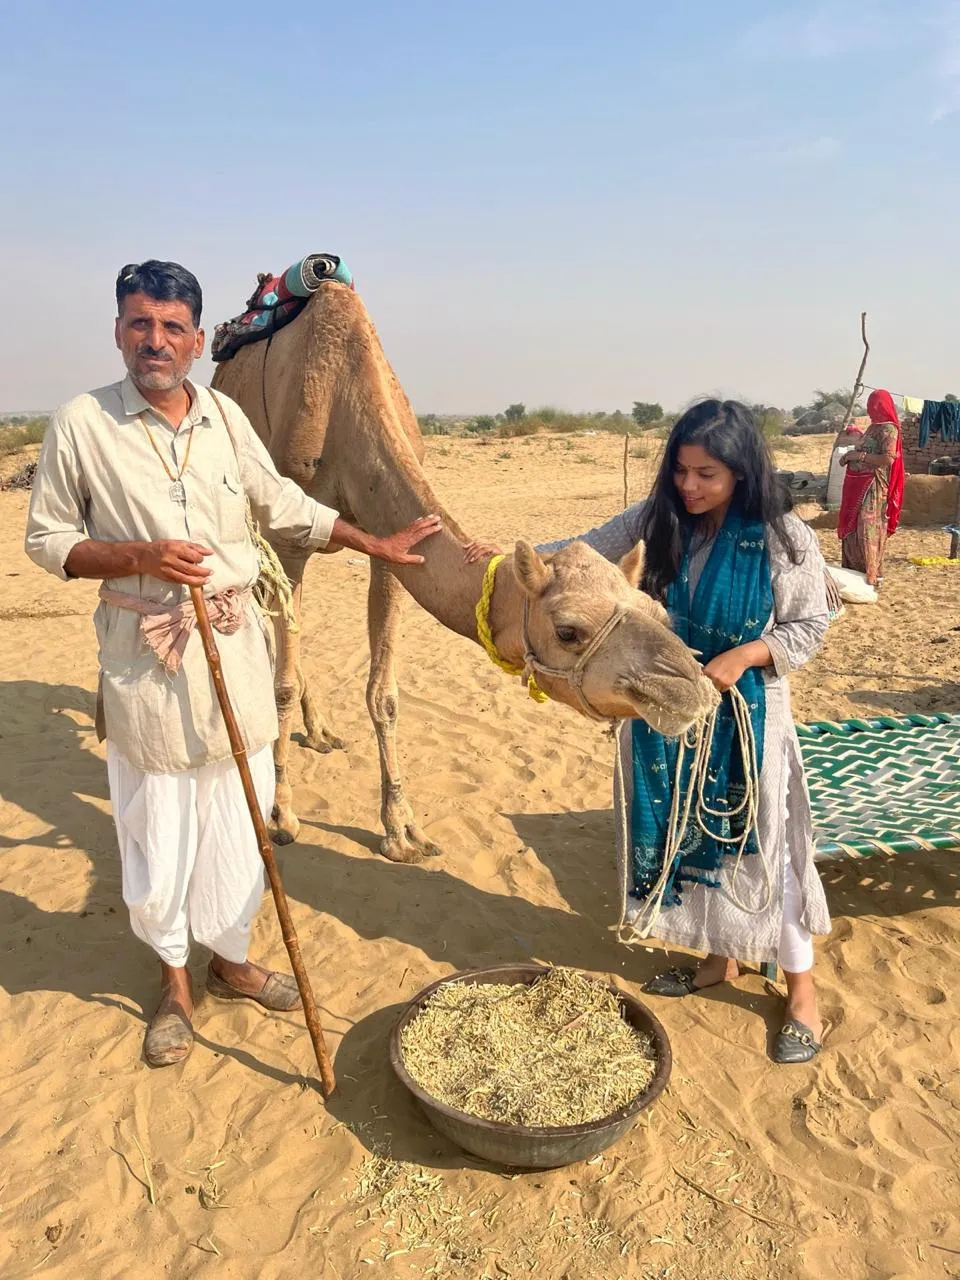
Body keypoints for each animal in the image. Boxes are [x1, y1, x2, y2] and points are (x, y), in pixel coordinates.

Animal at [212, 280, 721, 860]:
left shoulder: (390, 548)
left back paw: (320, 732)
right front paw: (282, 814)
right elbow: (281, 683)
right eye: (568, 631)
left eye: (657, 611)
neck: (343, 407)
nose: (689, 689)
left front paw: (402, 829)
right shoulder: (289, 539)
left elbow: (384, 694)